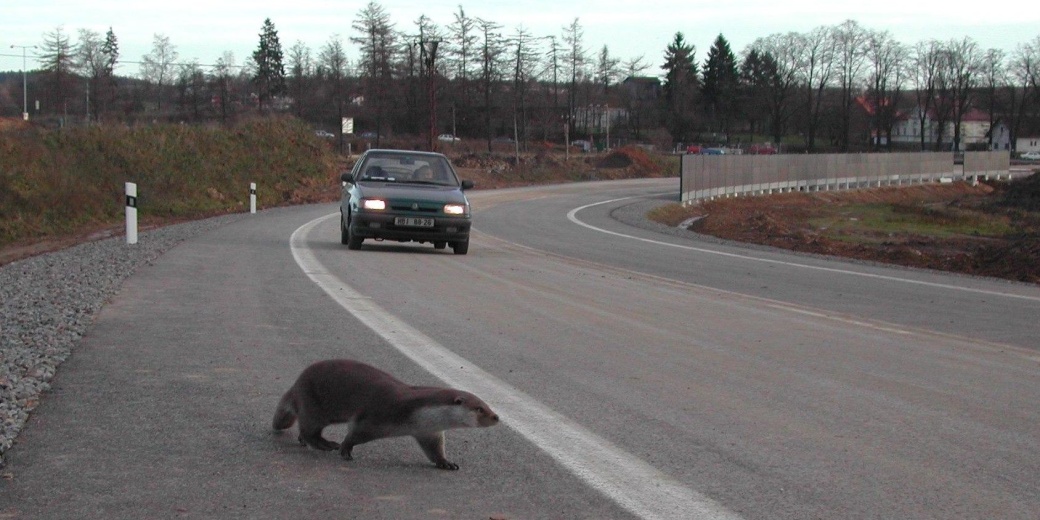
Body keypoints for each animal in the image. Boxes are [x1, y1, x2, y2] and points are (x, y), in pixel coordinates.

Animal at [268, 359, 495, 470]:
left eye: (489, 405)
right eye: (479, 409)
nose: (496, 417)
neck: (415, 413)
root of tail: (296, 385)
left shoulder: (428, 432)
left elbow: (434, 450)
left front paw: (446, 462)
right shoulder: (378, 416)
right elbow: (354, 433)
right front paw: (345, 450)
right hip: (314, 403)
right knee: (309, 429)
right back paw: (327, 444)